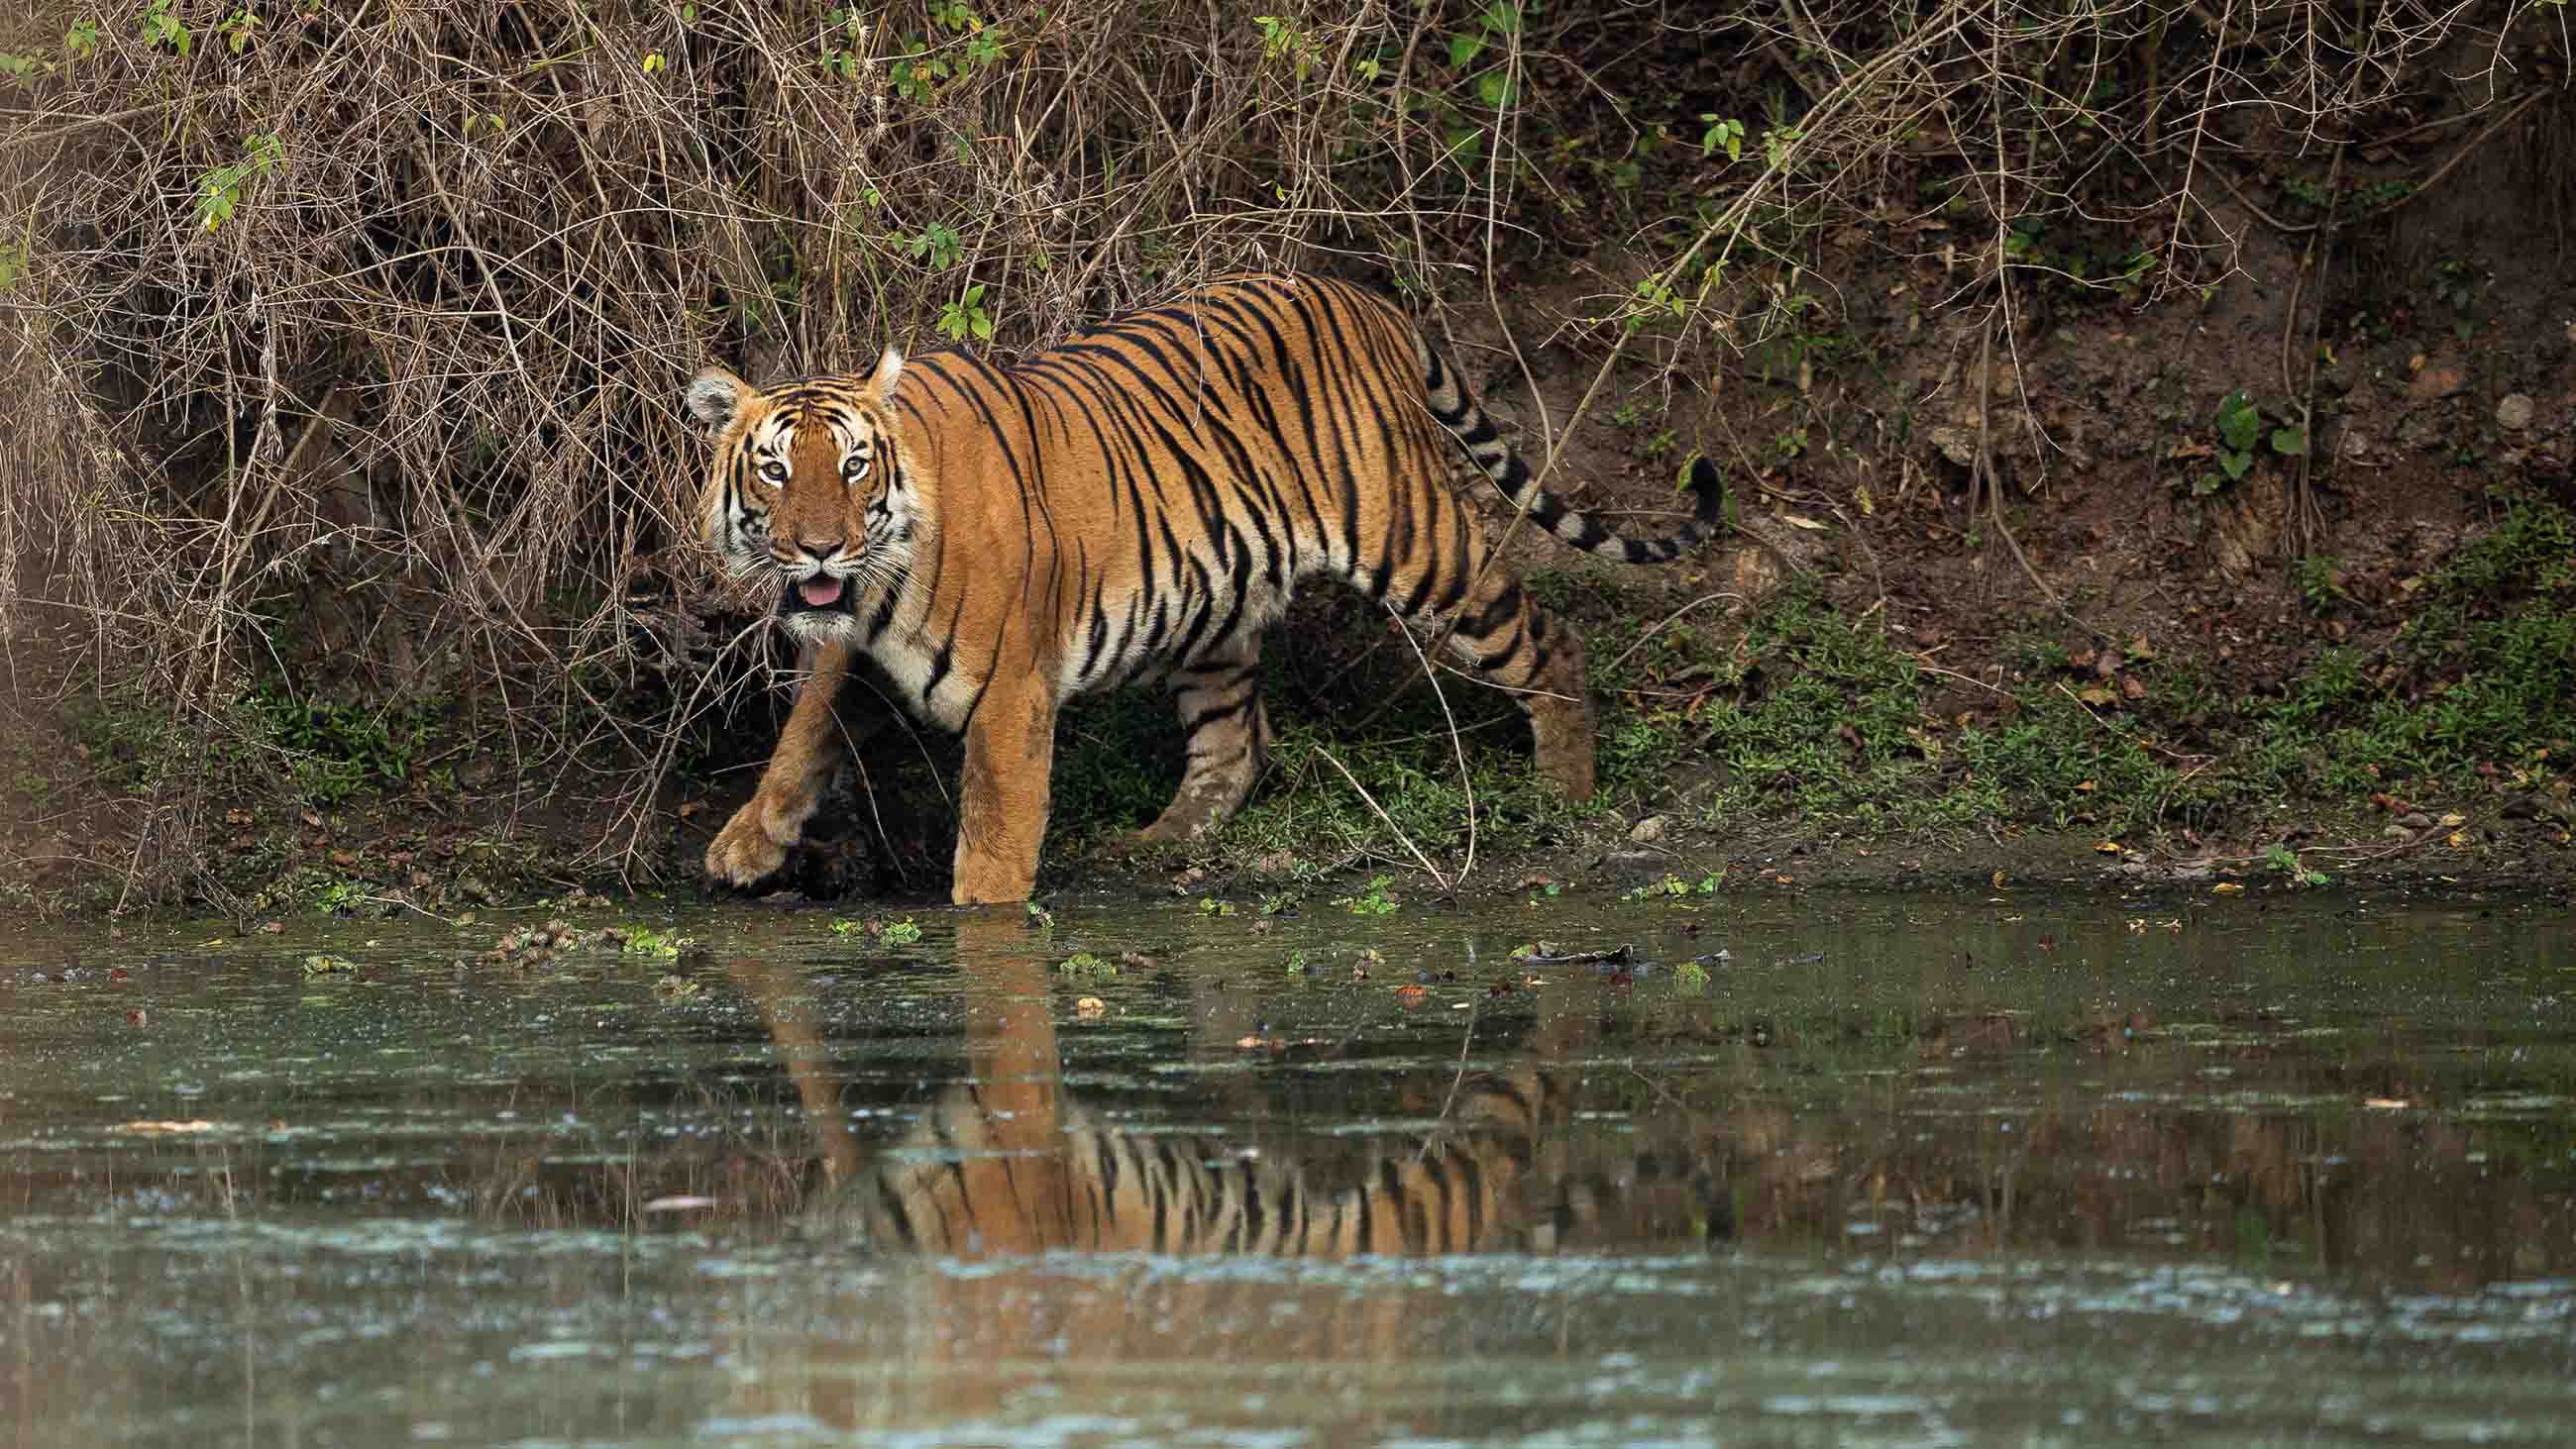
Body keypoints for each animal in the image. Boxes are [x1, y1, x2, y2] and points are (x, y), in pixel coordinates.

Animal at [690, 272, 1710, 900]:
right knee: (1235, 741)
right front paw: (745, 845)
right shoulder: (855, 646)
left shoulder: (1013, 690)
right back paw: (1162, 839)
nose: (820, 549)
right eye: (776, 471)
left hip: (1422, 546)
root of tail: (1368, 300)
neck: (881, 581)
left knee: (1548, 640)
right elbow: (802, 738)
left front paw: (986, 921)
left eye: (854, 466)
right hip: (1212, 607)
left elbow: (995, 830)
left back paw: (1564, 792)